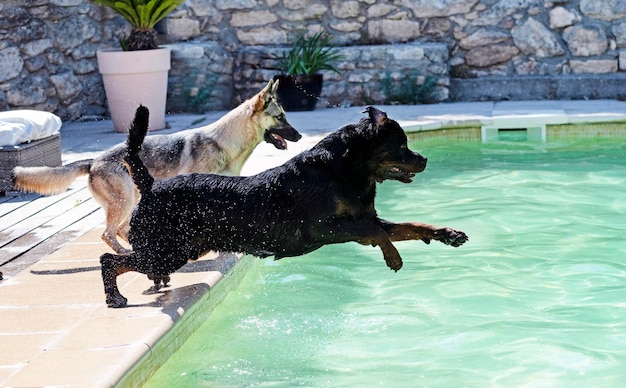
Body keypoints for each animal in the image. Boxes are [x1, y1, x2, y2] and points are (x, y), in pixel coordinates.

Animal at [12, 80, 300, 253]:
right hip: (125, 201)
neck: (225, 142)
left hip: (132, 201)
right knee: (109, 233)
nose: (298, 136)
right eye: (280, 117)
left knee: (120, 230)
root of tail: (93, 161)